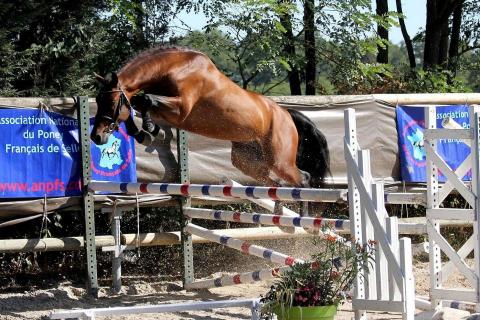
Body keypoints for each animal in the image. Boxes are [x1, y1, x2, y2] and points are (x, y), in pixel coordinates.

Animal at [91, 46, 330, 214]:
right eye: (97, 101)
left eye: (110, 103)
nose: (96, 136)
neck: (174, 68)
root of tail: (286, 113)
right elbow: (139, 104)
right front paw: (145, 132)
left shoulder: (181, 110)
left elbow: (145, 99)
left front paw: (148, 128)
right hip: (246, 159)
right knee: (274, 183)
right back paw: (280, 213)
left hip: (280, 160)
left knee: (302, 179)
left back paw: (304, 220)